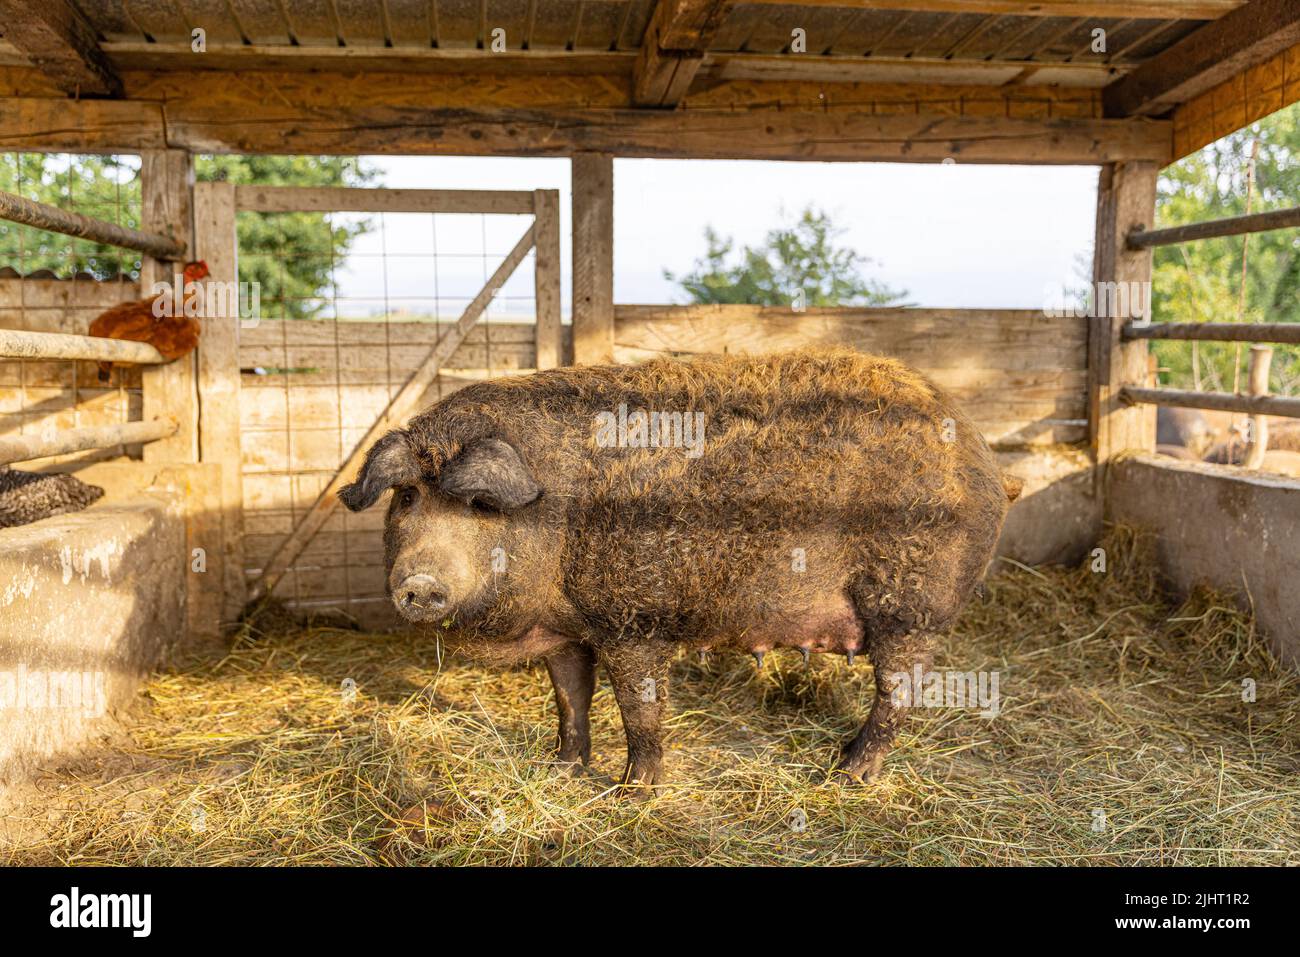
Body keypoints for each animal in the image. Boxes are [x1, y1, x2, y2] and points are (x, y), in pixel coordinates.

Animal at [339, 349, 1019, 792]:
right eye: (407, 497)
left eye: (480, 505)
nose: (419, 584)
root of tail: (985, 460)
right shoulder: (566, 630)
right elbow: (569, 698)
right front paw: (560, 771)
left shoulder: (633, 619)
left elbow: (639, 707)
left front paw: (633, 790)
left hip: (911, 603)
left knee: (900, 689)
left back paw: (846, 773)